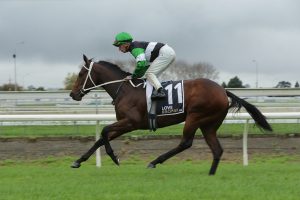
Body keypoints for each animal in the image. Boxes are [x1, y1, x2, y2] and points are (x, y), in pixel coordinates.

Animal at [69, 54, 272, 175]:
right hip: (209, 124)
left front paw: (114, 157)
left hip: (195, 117)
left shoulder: (131, 122)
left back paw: (155, 161)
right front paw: (78, 161)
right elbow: (101, 138)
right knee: (217, 149)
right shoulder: (124, 124)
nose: (73, 94)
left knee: (186, 143)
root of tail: (223, 91)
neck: (125, 90)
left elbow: (103, 131)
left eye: (80, 74)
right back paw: (210, 174)